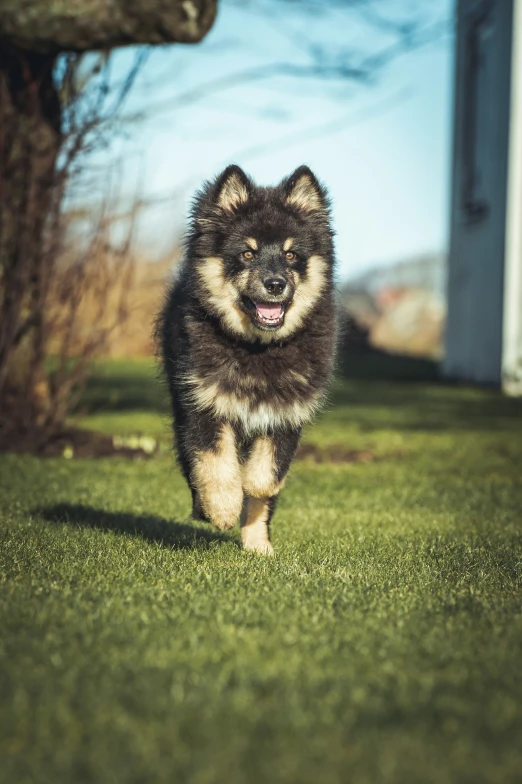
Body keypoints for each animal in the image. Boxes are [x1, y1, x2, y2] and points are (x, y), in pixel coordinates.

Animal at [158, 164, 336, 556]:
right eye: (248, 254)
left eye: (290, 255)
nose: (275, 284)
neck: (257, 349)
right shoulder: (202, 403)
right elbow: (215, 461)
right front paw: (223, 507)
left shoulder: (288, 412)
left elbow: (268, 475)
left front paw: (252, 493)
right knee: (192, 464)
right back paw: (205, 506)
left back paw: (259, 546)